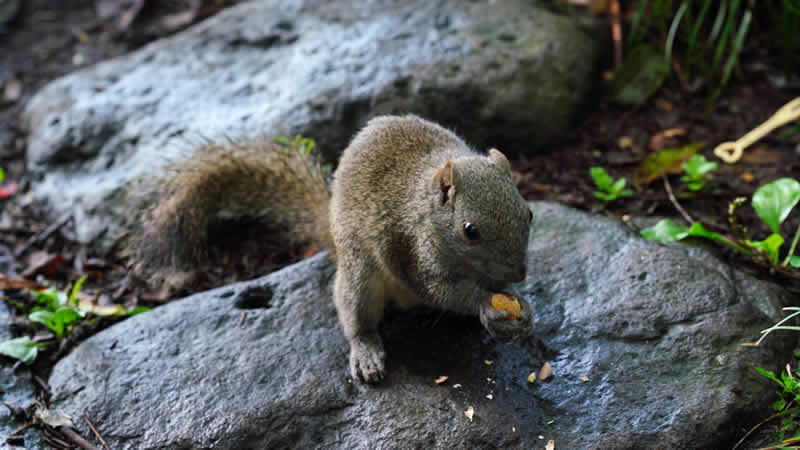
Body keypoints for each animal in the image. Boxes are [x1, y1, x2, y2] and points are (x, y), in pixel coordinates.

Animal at [125, 114, 536, 382]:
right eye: (471, 231)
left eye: (529, 213)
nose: (519, 273)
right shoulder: (414, 251)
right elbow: (441, 290)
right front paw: (487, 306)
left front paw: (520, 309)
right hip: (360, 275)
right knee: (353, 311)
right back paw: (365, 350)